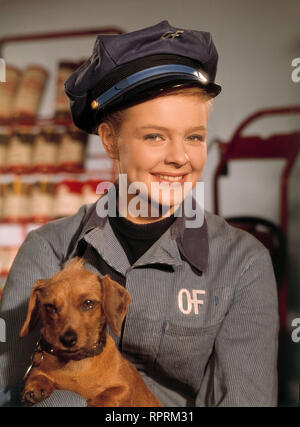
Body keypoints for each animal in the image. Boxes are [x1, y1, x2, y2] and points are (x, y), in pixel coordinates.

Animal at [19, 258, 162, 408]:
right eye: (51, 307)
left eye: (88, 303)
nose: (68, 339)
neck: (76, 364)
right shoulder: (38, 368)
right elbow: (37, 375)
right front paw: (36, 384)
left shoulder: (125, 388)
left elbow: (108, 394)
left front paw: (98, 402)